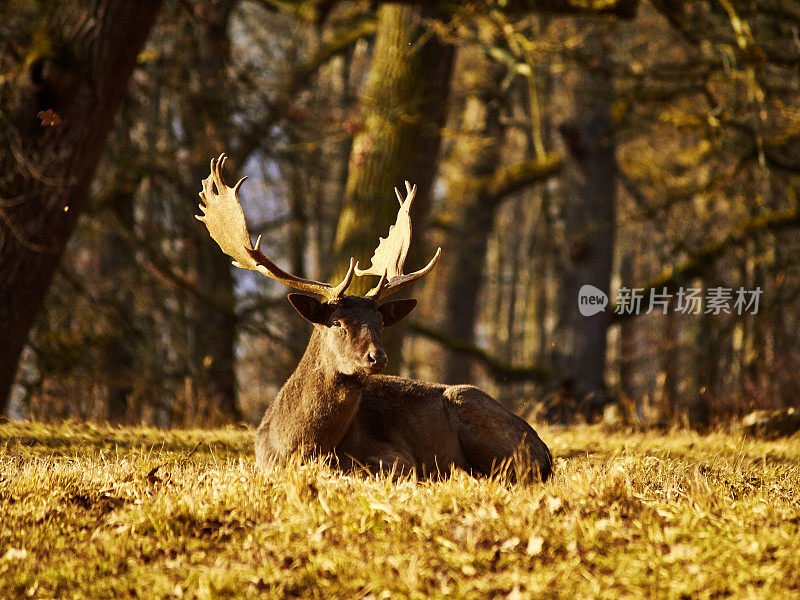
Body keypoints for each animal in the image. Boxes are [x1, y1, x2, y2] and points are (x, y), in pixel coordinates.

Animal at [197, 152, 552, 480]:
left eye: (380, 323)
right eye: (337, 323)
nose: (376, 357)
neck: (300, 446)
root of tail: (546, 451)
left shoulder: (396, 457)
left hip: (480, 416)